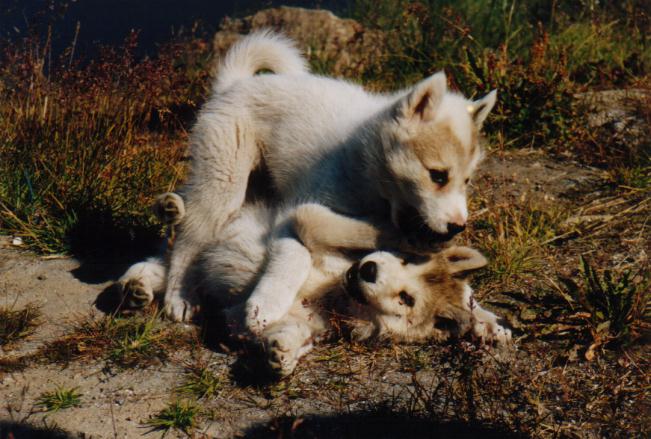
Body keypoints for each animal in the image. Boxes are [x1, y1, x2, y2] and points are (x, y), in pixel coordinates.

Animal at [119, 194, 512, 376]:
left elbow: (289, 334)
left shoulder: (300, 324)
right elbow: (314, 243)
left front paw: (283, 354)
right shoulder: (306, 218)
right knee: (175, 240)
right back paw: (170, 210)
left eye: (406, 299)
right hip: (207, 229)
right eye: (404, 261)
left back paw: (137, 289)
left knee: (160, 265)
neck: (334, 293)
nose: (369, 269)